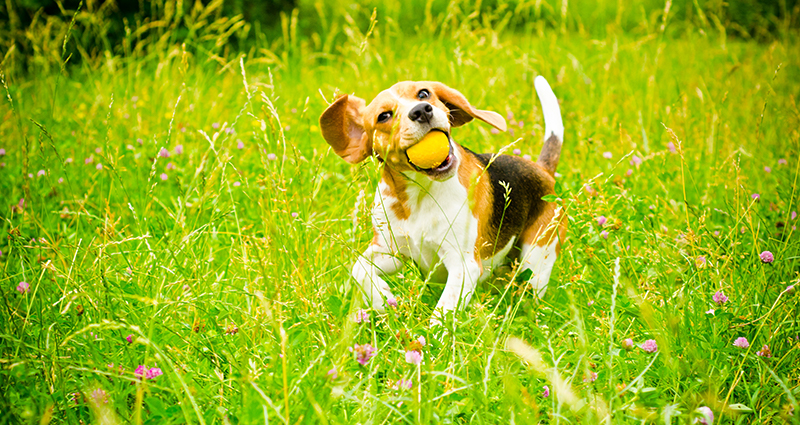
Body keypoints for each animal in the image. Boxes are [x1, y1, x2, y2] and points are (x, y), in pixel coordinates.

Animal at [316, 76, 564, 322]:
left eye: (423, 94)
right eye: (384, 116)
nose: (421, 111)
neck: (421, 195)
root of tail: (543, 170)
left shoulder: (463, 265)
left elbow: (442, 313)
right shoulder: (390, 251)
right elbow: (358, 269)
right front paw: (382, 299)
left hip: (536, 258)